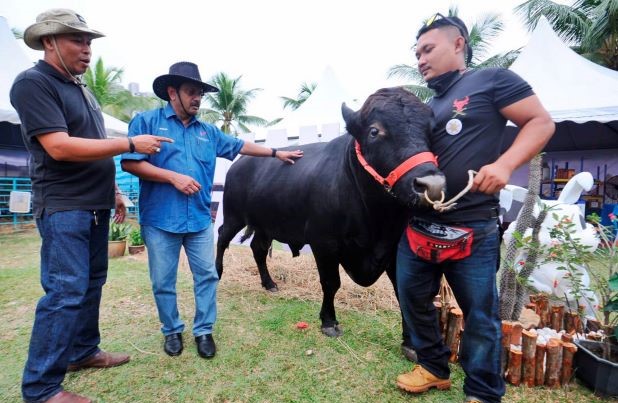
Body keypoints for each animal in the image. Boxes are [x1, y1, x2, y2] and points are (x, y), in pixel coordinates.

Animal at [215, 87, 442, 344]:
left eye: (432, 129)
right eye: (374, 131)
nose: (431, 184)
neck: (377, 221)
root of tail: (240, 162)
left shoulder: (393, 245)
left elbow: (401, 289)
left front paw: (411, 339)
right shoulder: (323, 242)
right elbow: (331, 282)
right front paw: (329, 322)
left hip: (265, 224)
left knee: (258, 249)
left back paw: (269, 283)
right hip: (233, 215)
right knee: (222, 238)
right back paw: (218, 273)